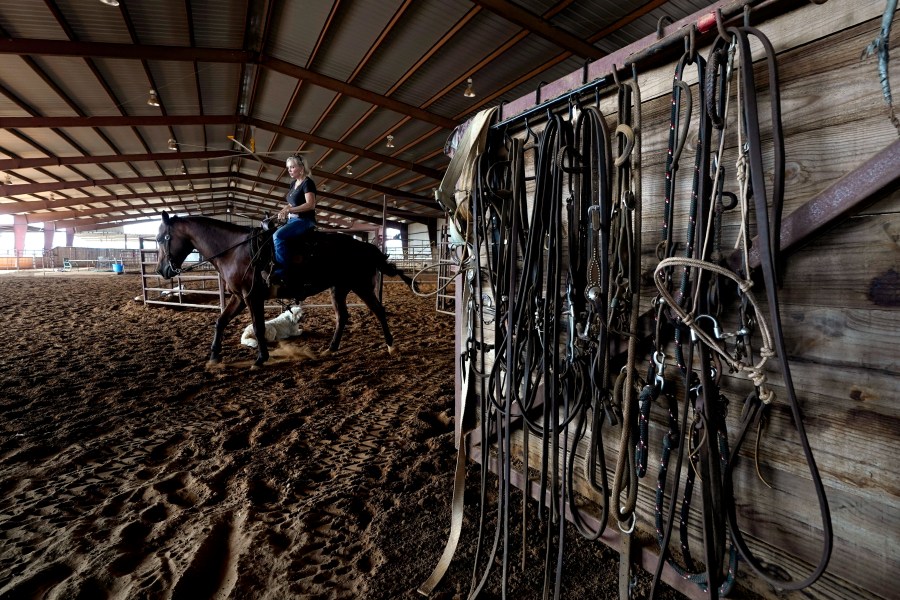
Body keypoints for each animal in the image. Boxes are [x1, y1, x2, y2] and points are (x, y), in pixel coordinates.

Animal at [156, 213, 418, 368]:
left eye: (160, 238)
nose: (161, 270)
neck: (235, 251)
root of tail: (366, 247)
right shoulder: (239, 297)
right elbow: (220, 322)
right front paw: (213, 357)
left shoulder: (252, 297)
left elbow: (259, 328)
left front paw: (260, 359)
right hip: (339, 288)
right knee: (342, 317)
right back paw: (330, 349)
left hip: (361, 285)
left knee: (379, 311)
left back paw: (392, 347)